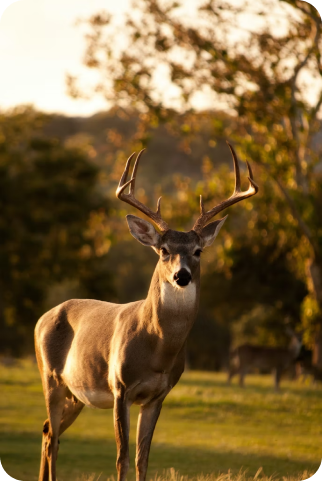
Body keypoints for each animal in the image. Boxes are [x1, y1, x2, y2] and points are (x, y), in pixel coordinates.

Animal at [34, 142, 258, 480]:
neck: (157, 349)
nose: (182, 275)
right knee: (52, 436)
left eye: (198, 251)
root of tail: (41, 319)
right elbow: (122, 458)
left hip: (76, 393)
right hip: (50, 377)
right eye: (164, 250)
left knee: (49, 431)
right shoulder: (120, 388)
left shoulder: (157, 396)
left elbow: (143, 458)